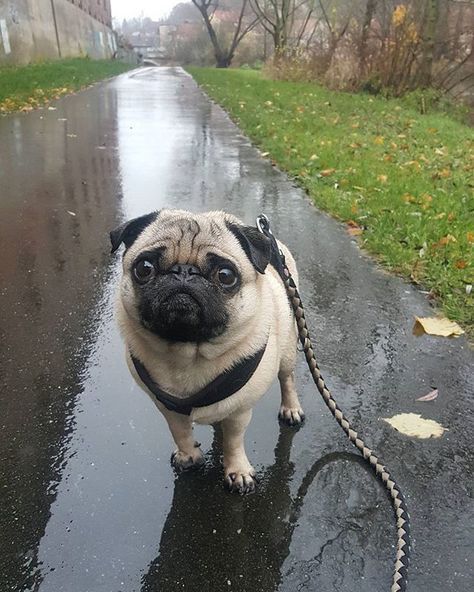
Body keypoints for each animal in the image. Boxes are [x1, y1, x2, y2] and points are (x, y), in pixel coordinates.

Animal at [110, 210, 304, 492]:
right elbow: (179, 432)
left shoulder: (240, 410)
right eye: (144, 268)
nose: (184, 272)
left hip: (288, 348)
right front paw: (188, 455)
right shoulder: (166, 407)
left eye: (225, 275)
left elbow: (234, 441)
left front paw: (237, 471)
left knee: (287, 379)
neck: (189, 352)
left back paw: (291, 409)